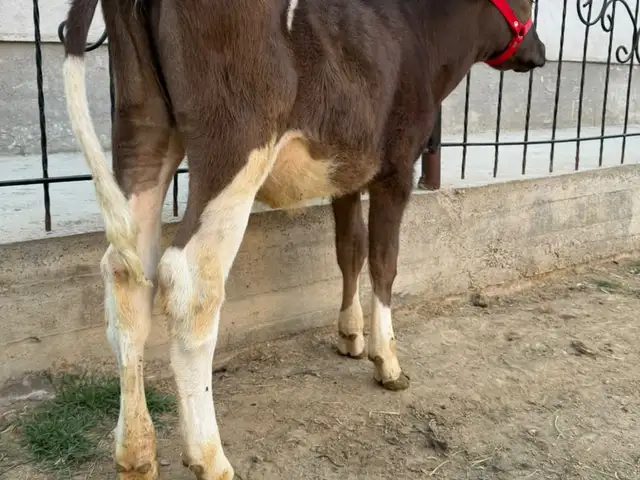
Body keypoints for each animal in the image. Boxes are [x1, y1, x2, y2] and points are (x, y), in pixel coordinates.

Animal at [61, 0, 545, 477]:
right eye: (529, 4)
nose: (540, 53)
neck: (420, 33)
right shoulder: (397, 167)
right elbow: (384, 261)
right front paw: (386, 360)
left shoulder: (348, 170)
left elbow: (349, 249)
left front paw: (349, 335)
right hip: (236, 142)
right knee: (190, 282)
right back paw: (209, 457)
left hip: (143, 128)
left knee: (126, 274)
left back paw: (136, 453)